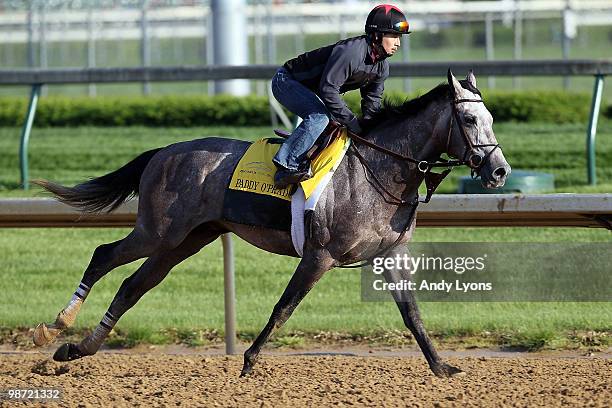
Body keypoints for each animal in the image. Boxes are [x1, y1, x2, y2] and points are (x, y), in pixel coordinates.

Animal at [33, 69, 512, 376]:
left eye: (492, 119)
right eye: (470, 119)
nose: (499, 171)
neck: (378, 170)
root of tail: (163, 151)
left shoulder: (392, 254)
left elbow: (412, 313)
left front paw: (442, 366)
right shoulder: (320, 255)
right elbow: (284, 308)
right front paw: (248, 361)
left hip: (185, 241)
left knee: (133, 286)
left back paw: (76, 350)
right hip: (158, 231)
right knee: (103, 256)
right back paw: (54, 327)